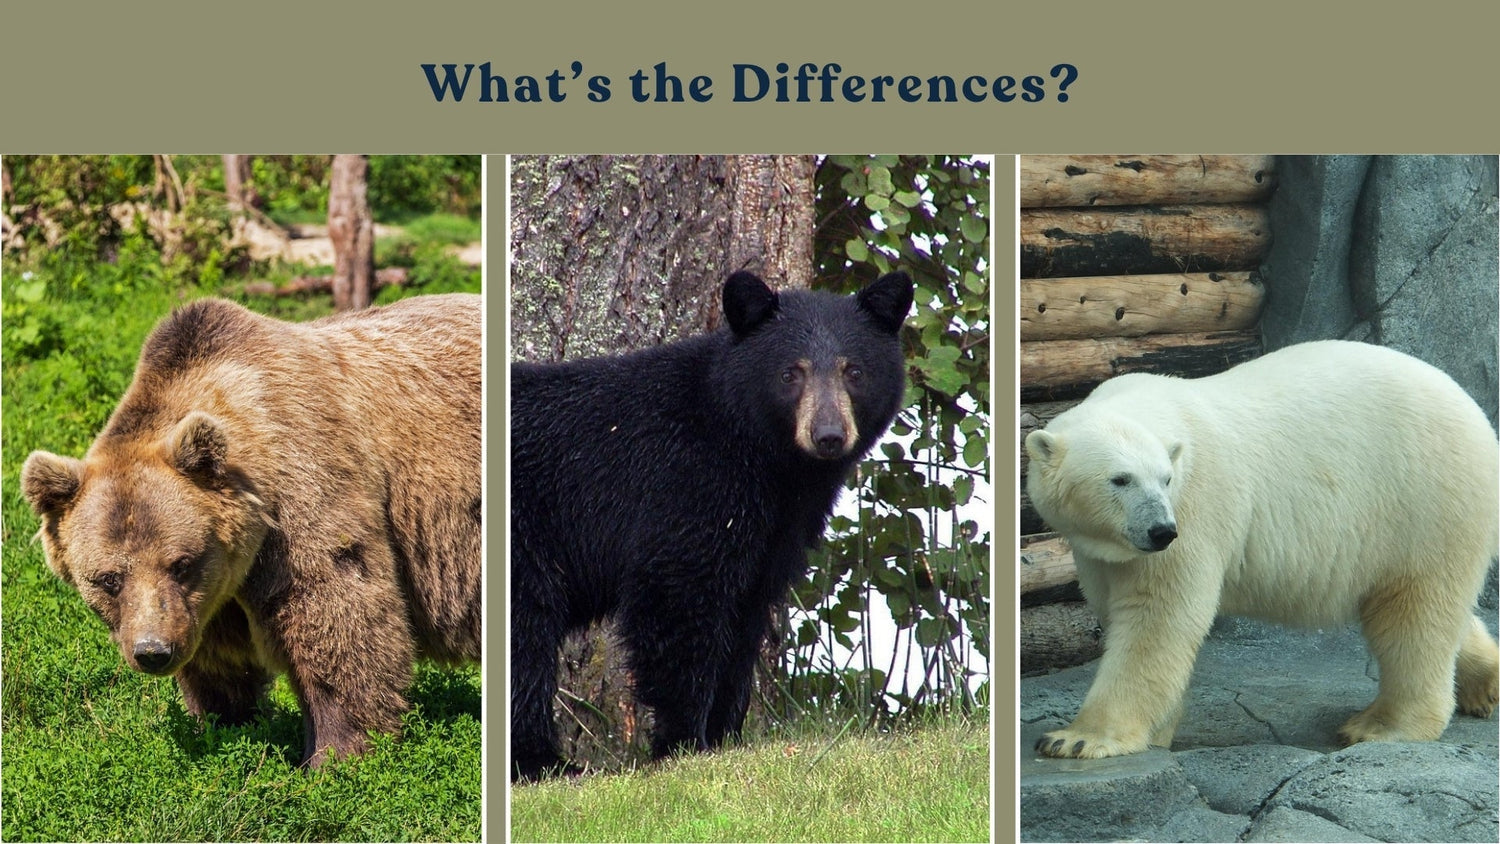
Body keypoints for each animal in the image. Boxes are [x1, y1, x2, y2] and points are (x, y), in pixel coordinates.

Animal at [21, 294, 482, 768]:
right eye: (108, 579)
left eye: (181, 563)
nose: (153, 651)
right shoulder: (215, 594)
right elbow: (219, 658)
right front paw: (223, 722)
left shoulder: (306, 492)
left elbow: (336, 614)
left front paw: (336, 754)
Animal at [509, 270, 913, 781]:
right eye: (791, 372)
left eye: (853, 371)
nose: (828, 436)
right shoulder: (687, 486)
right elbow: (679, 598)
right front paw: (684, 743)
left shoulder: (775, 531)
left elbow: (744, 620)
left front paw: (726, 737)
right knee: (526, 633)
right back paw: (544, 761)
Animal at [1024, 339, 1500, 759]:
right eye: (1119, 479)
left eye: (1165, 479)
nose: (1161, 531)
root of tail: (1476, 414)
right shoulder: (1103, 549)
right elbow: (1117, 606)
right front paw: (1155, 731)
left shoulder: (1197, 509)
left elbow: (1157, 616)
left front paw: (1075, 739)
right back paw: (1486, 686)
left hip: (1423, 498)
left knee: (1414, 613)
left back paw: (1381, 725)